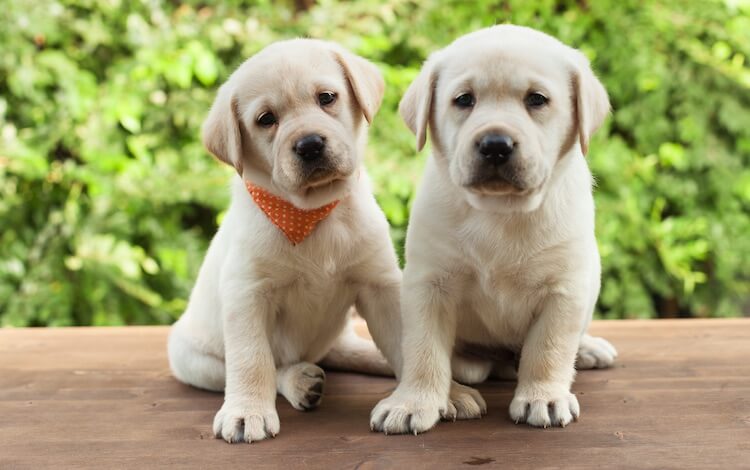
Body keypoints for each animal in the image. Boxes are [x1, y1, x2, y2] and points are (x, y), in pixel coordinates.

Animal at [374, 25, 620, 436]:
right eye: (464, 100)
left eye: (537, 99)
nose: (495, 145)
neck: (500, 211)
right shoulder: (429, 284)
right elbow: (423, 350)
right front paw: (412, 402)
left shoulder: (564, 288)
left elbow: (549, 348)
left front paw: (543, 397)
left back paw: (587, 349)